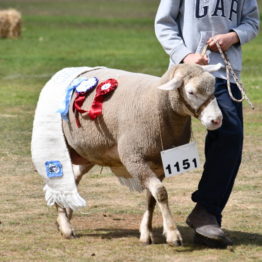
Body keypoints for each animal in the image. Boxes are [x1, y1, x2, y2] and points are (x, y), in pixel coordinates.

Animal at [55, 63, 223, 246]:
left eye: (214, 87)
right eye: (191, 92)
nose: (217, 120)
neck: (156, 103)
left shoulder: (159, 164)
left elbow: (152, 198)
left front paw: (146, 233)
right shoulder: (134, 159)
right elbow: (161, 193)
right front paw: (172, 234)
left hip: (89, 152)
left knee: (74, 177)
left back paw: (66, 215)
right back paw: (65, 226)